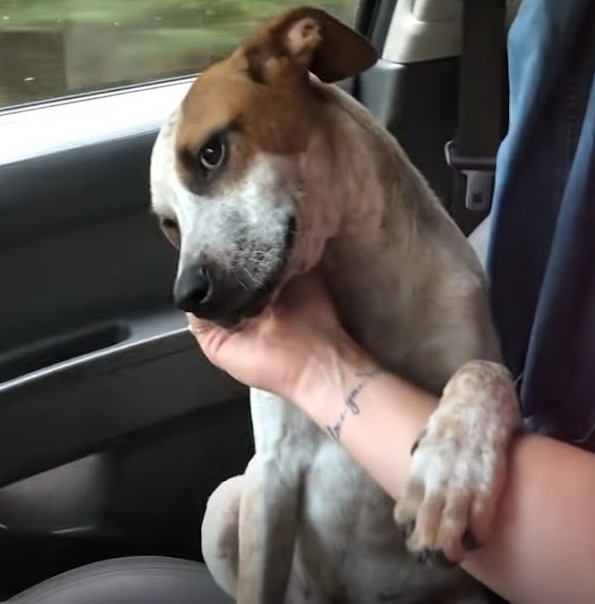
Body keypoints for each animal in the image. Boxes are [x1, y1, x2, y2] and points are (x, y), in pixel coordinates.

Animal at [150, 7, 521, 603]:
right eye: (168, 224)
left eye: (211, 153)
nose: (190, 297)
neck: (355, 285)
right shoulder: (271, 473)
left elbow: (485, 372)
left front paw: (454, 471)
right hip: (228, 502)